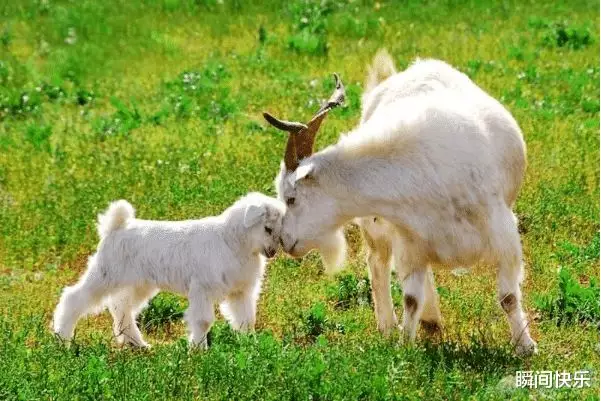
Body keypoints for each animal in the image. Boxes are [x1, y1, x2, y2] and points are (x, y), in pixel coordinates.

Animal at [52, 191, 284, 346]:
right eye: (267, 228)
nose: (273, 251)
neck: (231, 240)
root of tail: (116, 226)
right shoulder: (202, 289)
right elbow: (203, 321)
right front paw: (198, 350)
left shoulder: (241, 292)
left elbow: (246, 320)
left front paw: (250, 346)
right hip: (105, 276)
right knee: (74, 299)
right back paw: (63, 338)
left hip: (138, 284)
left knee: (121, 308)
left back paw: (137, 344)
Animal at [264, 50, 536, 354]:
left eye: (291, 198)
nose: (284, 241)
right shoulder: (410, 240)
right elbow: (411, 299)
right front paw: (405, 345)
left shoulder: (503, 234)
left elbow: (508, 296)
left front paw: (525, 346)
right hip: (379, 229)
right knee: (377, 263)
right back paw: (394, 324)